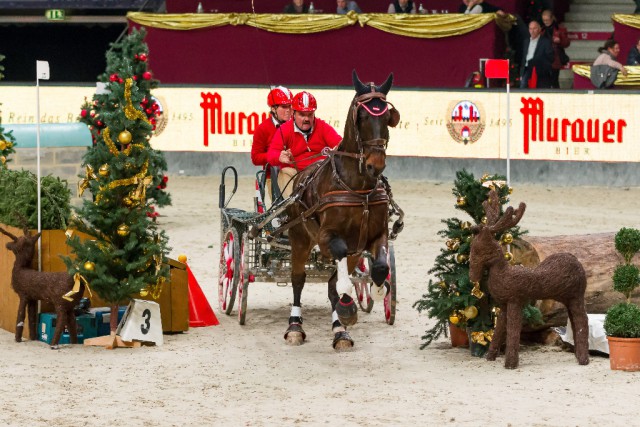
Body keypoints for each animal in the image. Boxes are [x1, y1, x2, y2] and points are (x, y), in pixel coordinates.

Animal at [282, 70, 398, 352]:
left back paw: (339, 330)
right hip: (300, 239)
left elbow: (379, 268)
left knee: (332, 285)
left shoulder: (374, 236)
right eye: (362, 116)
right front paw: (348, 305)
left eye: (387, 118)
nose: (376, 165)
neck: (358, 188)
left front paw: (377, 291)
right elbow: (341, 276)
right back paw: (295, 327)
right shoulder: (328, 237)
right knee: (298, 279)